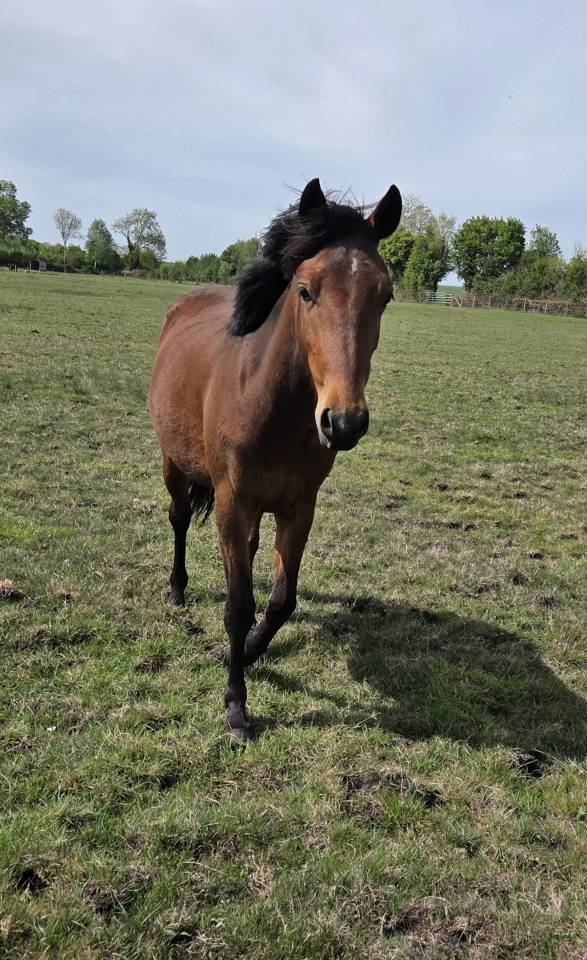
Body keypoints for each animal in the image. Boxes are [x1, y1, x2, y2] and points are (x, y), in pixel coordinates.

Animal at [148, 178, 402, 743]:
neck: (271, 403)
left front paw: (249, 652)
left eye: (386, 295)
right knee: (178, 519)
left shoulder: (299, 507)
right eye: (306, 290)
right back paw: (176, 590)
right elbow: (238, 605)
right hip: (174, 463)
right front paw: (236, 707)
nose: (343, 422)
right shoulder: (231, 501)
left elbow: (282, 600)